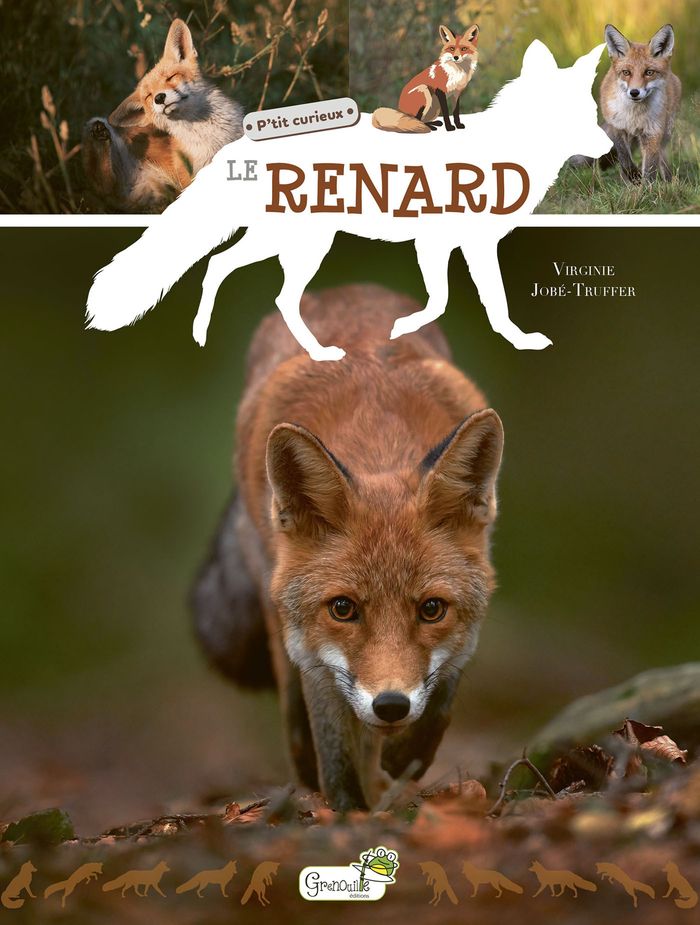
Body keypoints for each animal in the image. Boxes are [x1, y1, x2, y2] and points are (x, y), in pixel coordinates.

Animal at [82, 18, 243, 212]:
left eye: (171, 77)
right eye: (148, 96)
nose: (159, 98)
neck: (212, 137)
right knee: (106, 184)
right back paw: (100, 136)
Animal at [190, 283, 504, 810]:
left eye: (432, 609)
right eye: (343, 608)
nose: (392, 705)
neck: (377, 441)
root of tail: (347, 290)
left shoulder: (469, 620)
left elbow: (441, 702)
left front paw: (406, 756)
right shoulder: (314, 652)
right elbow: (335, 749)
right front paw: (347, 812)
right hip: (271, 591)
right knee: (298, 722)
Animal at [599, 24, 681, 182]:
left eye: (649, 72)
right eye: (626, 72)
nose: (634, 92)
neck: (634, 116)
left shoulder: (653, 132)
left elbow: (650, 167)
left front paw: (647, 187)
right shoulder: (617, 126)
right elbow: (624, 158)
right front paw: (633, 176)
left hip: (666, 131)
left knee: (662, 158)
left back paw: (669, 182)